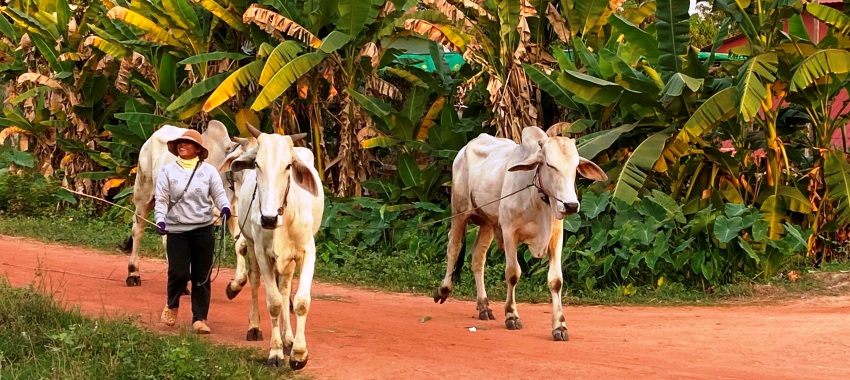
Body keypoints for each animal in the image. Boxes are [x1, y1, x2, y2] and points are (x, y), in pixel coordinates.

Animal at [229, 124, 322, 368]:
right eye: (257, 164)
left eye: (288, 165)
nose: (268, 219)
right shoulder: (262, 252)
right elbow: (274, 302)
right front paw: (276, 352)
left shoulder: (307, 251)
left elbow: (300, 301)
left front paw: (298, 353)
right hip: (253, 246)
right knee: (255, 281)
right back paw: (255, 327)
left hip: (289, 261)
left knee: (286, 287)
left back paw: (288, 337)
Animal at [434, 126, 608, 340]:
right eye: (550, 165)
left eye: (575, 166)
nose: (571, 205)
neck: (537, 199)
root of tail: (466, 146)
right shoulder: (510, 232)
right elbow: (512, 274)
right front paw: (511, 315)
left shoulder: (556, 237)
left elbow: (556, 280)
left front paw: (559, 326)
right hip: (459, 212)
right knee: (453, 247)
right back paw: (443, 290)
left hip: (488, 223)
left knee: (478, 257)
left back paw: (484, 306)